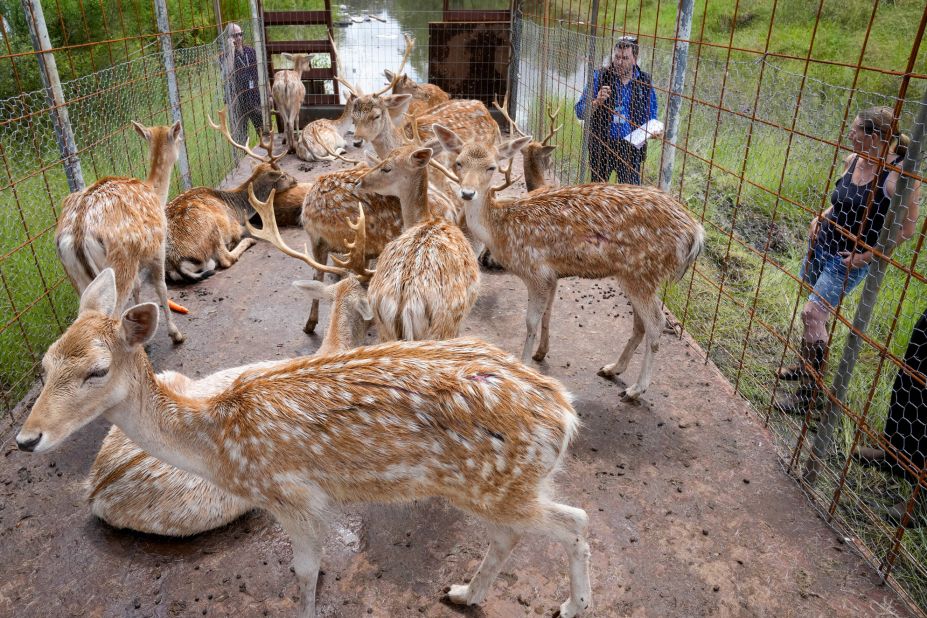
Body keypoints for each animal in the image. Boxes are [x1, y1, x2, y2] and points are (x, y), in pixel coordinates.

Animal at [18, 268, 596, 616]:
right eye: (44, 363)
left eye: (96, 371)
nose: (27, 437)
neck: (215, 442)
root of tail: (566, 416)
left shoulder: (291, 496)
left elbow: (305, 569)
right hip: (493, 488)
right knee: (512, 535)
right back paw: (464, 593)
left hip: (498, 485)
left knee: (574, 522)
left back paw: (572, 605)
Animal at [54, 119, 187, 342]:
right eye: (178, 138)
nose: (182, 143)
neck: (157, 195)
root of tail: (79, 231)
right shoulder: (158, 249)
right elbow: (161, 287)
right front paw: (176, 334)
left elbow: (138, 286)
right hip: (119, 264)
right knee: (111, 315)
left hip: (77, 276)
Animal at [164, 110, 298, 282]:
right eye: (283, 175)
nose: (295, 179)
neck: (236, 209)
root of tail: (176, 263)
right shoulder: (234, 226)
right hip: (211, 227)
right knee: (226, 259)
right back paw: (248, 241)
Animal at [432, 123, 708, 400]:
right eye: (459, 162)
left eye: (491, 167)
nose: (467, 193)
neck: (501, 230)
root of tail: (696, 233)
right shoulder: (551, 275)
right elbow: (546, 314)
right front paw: (540, 354)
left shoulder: (536, 271)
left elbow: (530, 323)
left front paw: (525, 367)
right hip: (637, 276)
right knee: (640, 324)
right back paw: (612, 368)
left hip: (642, 272)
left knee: (656, 324)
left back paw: (636, 389)